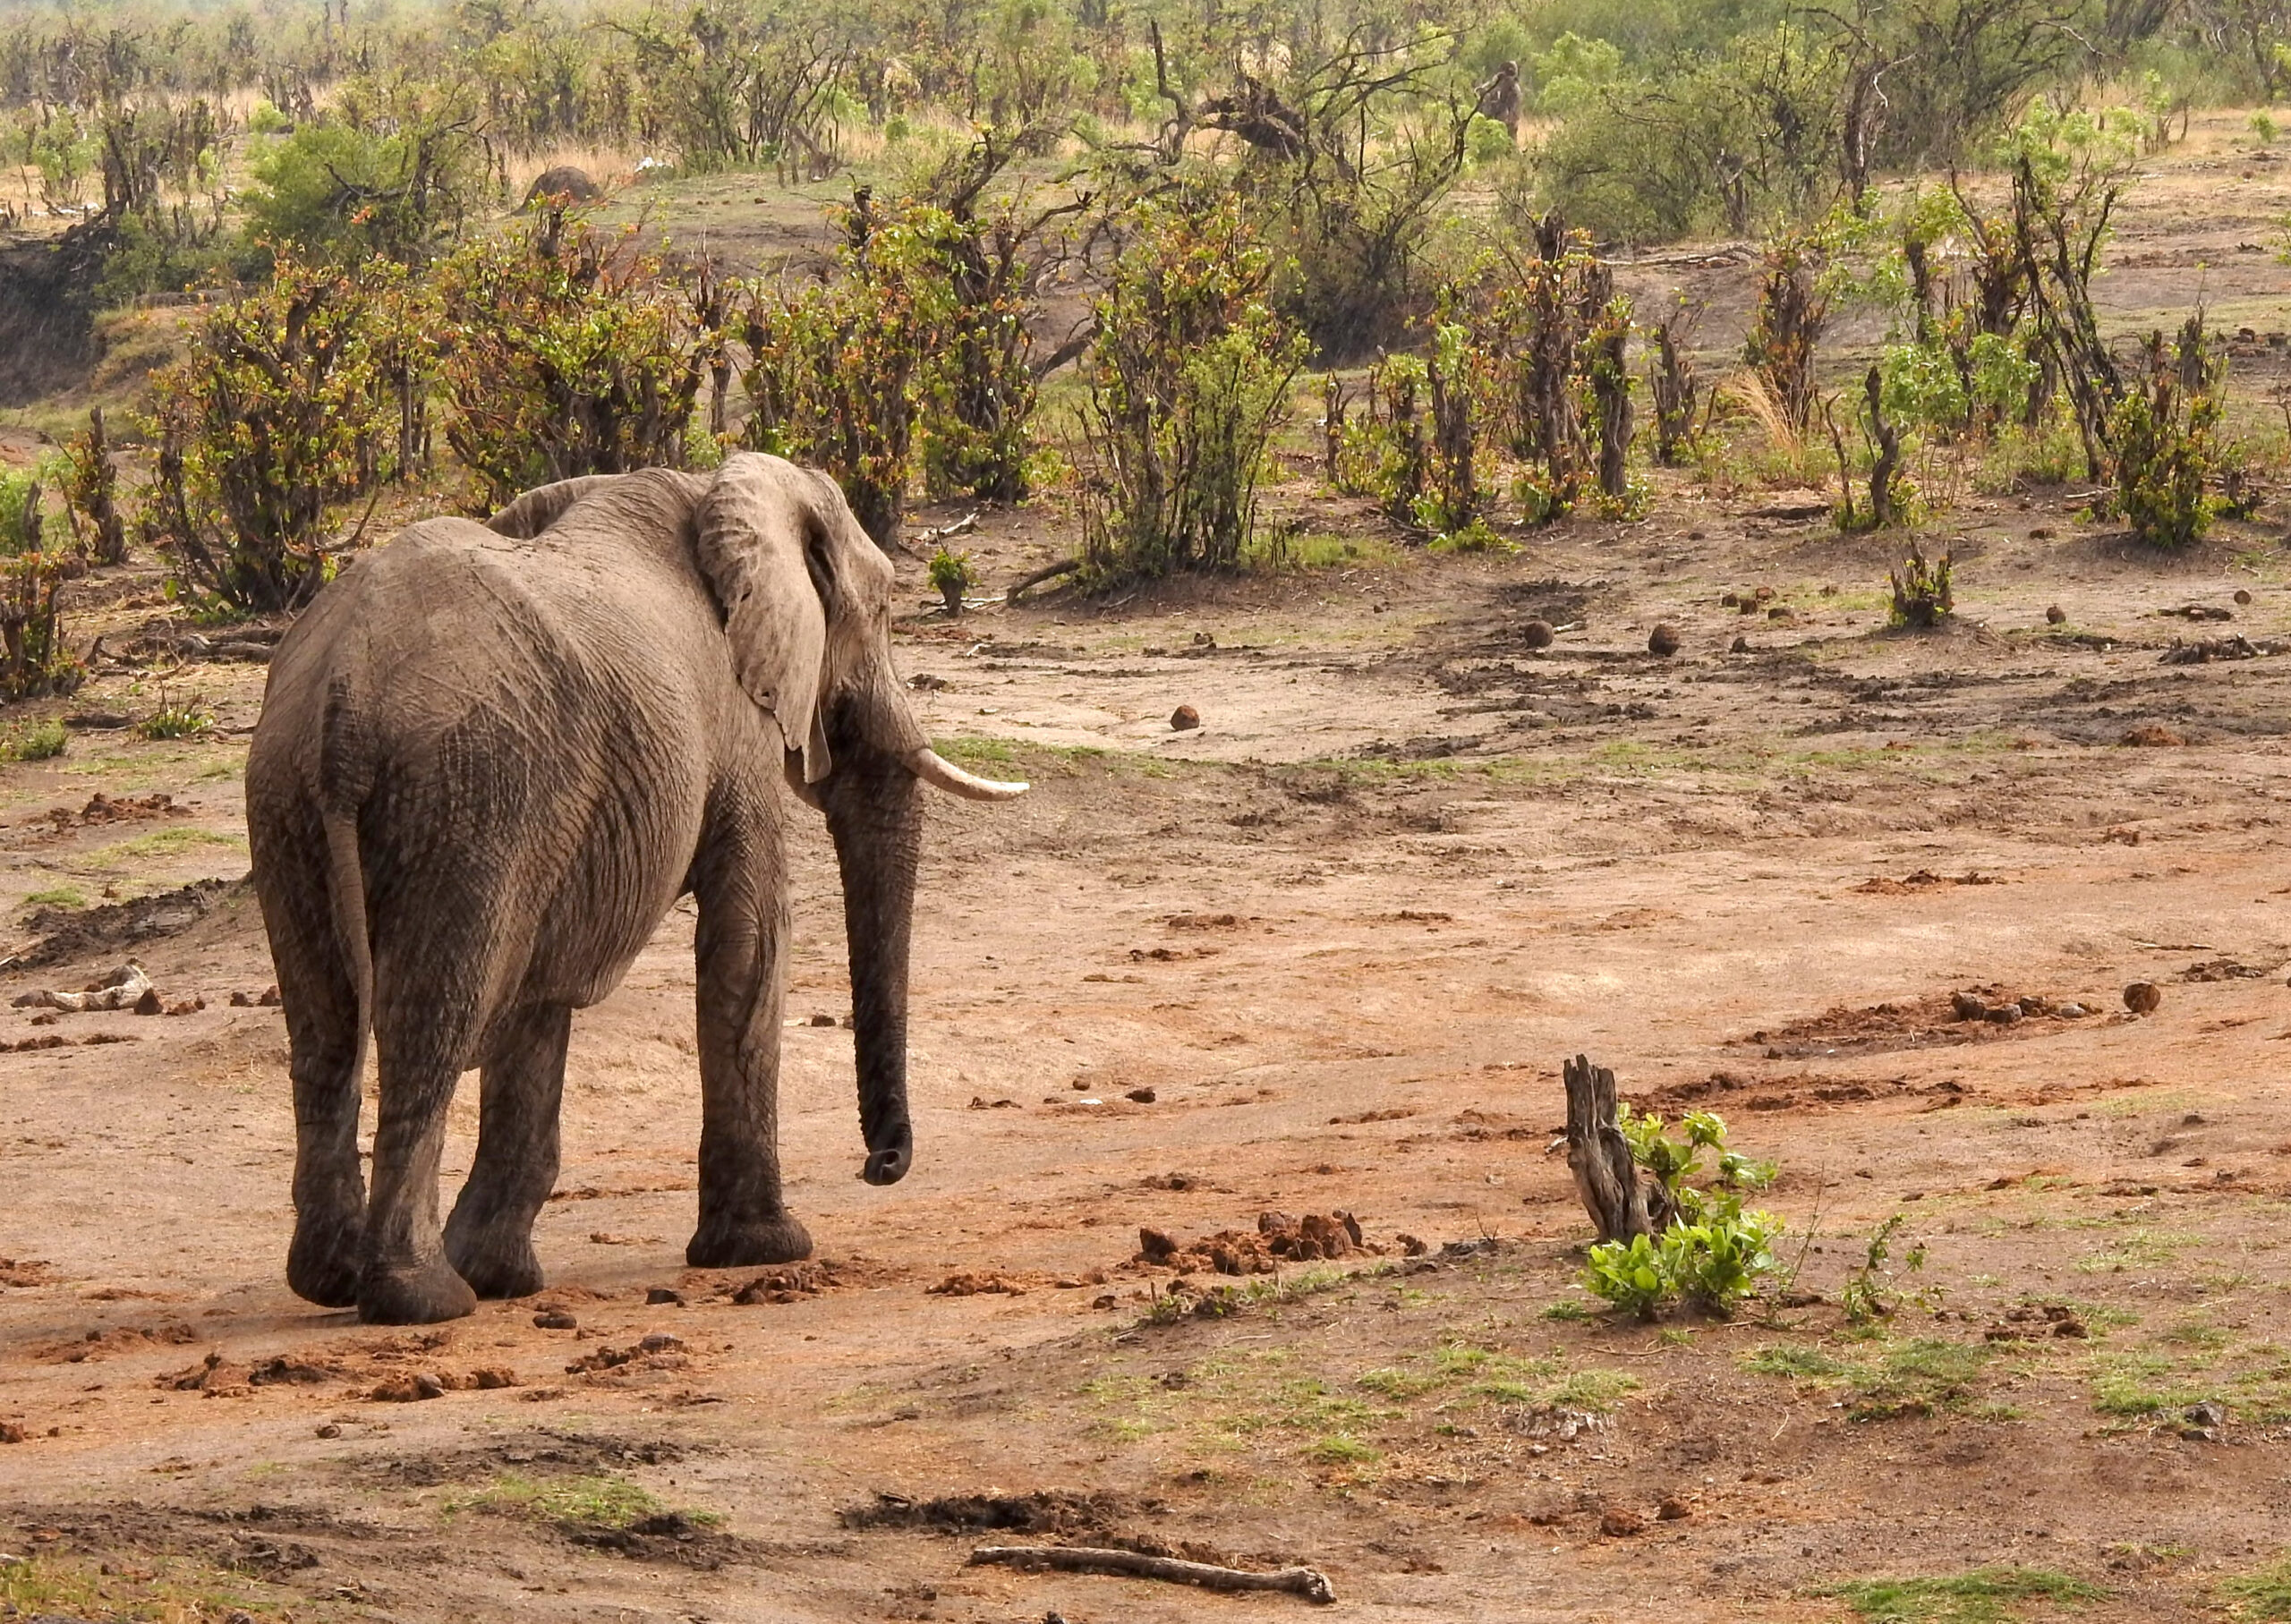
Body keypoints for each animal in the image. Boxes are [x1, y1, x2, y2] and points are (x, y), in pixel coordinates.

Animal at [245, 453, 1026, 1324]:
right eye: (885, 607)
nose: (881, 1166)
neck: (717, 495)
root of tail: (344, 692)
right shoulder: (733, 724)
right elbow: (752, 936)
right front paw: (766, 1250)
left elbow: (541, 999)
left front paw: (503, 1275)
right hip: (469, 796)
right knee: (431, 1023)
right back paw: (422, 1298)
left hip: (294, 800)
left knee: (325, 1027)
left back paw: (335, 1281)